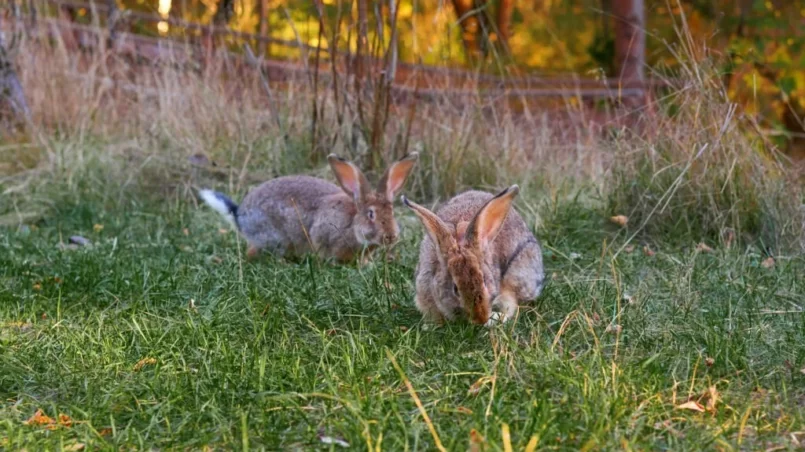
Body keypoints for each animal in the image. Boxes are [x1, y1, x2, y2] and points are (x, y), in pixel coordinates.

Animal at [199, 154, 420, 264]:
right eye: (371, 214)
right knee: (254, 252)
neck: (352, 224)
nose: (391, 236)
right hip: (275, 236)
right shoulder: (323, 234)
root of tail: (240, 216)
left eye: (392, 213)